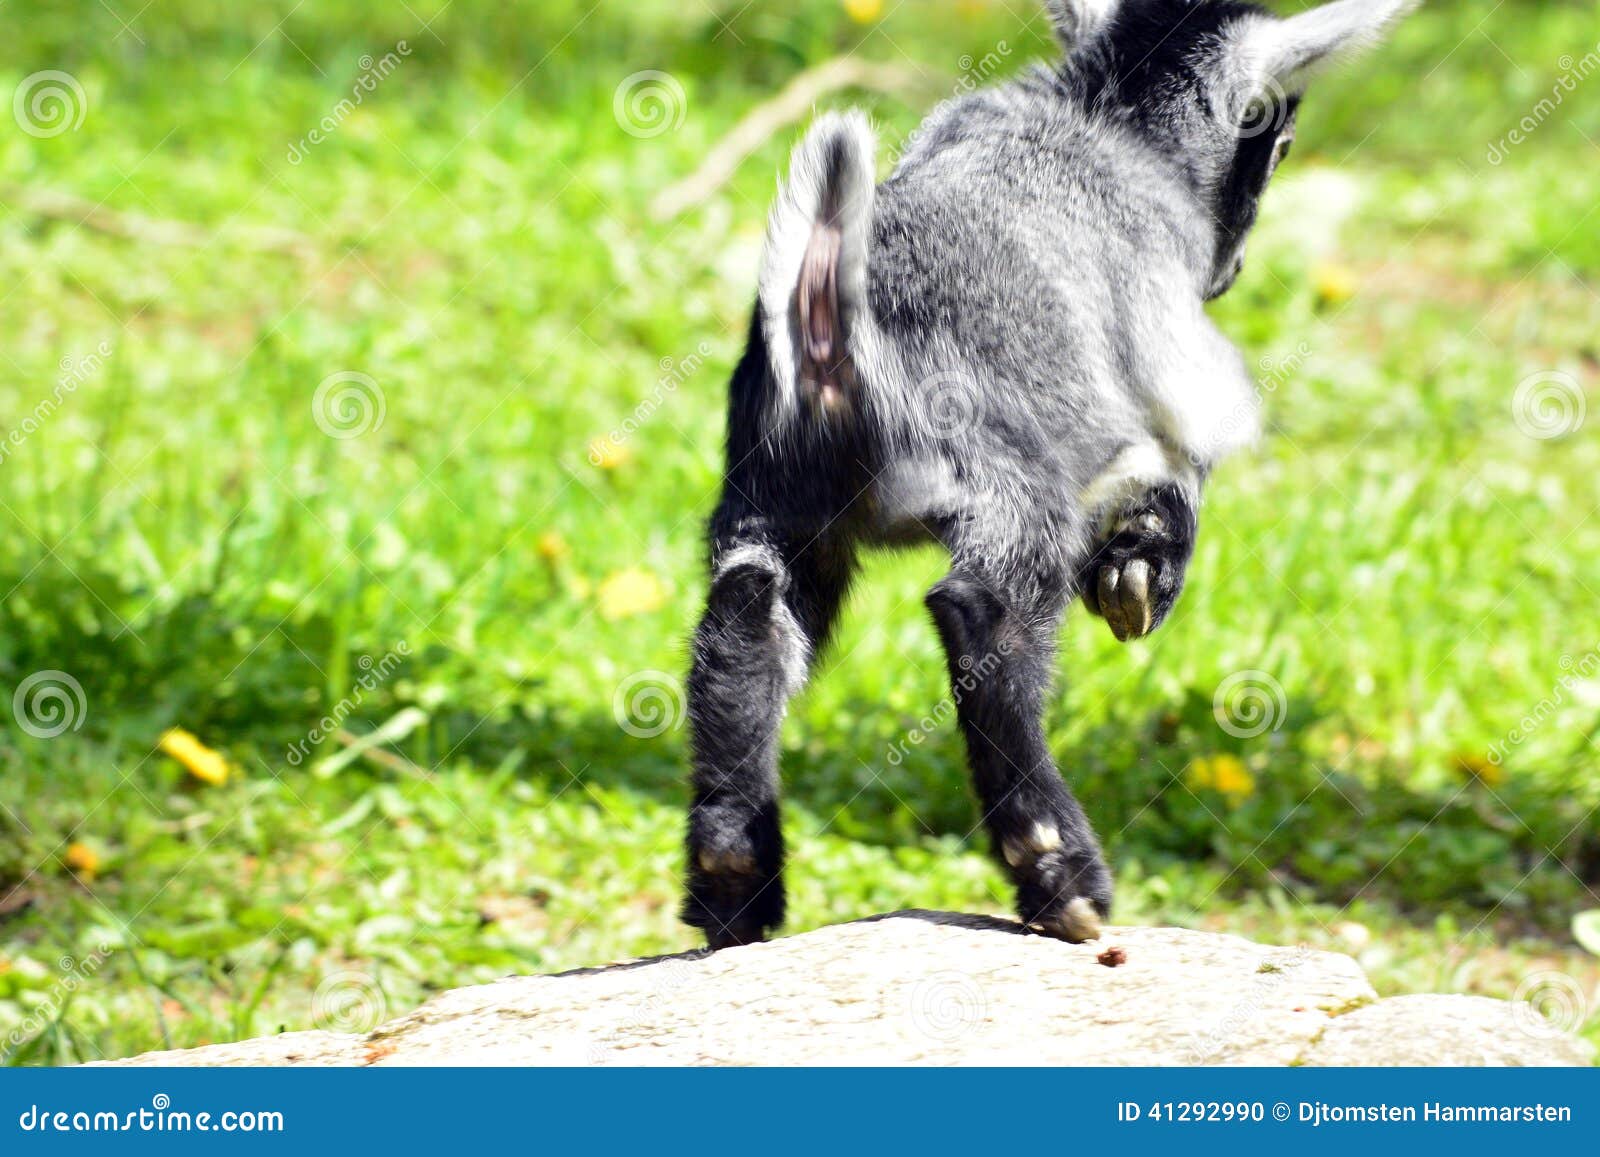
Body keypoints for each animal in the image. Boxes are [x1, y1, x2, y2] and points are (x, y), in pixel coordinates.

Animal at [684, 0, 1419, 948]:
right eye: (1281, 138)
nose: (1234, 270)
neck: (1110, 116)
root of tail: (825, 331)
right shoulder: (1165, 370)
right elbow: (1181, 458)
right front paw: (1141, 569)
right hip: (1002, 484)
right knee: (983, 615)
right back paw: (1060, 873)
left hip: (770, 500)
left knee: (747, 612)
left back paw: (733, 884)